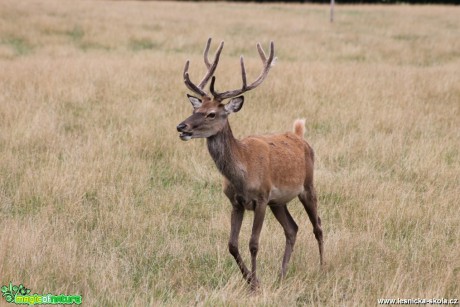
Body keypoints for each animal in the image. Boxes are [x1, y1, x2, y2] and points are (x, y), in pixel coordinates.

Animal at [176, 38, 324, 292]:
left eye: (211, 114)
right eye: (195, 109)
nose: (181, 127)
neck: (242, 172)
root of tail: (299, 134)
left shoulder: (261, 198)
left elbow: (253, 243)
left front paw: (254, 284)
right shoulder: (236, 202)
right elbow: (232, 245)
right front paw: (251, 279)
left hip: (307, 185)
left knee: (318, 226)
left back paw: (323, 269)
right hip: (279, 201)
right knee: (292, 228)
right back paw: (281, 275)